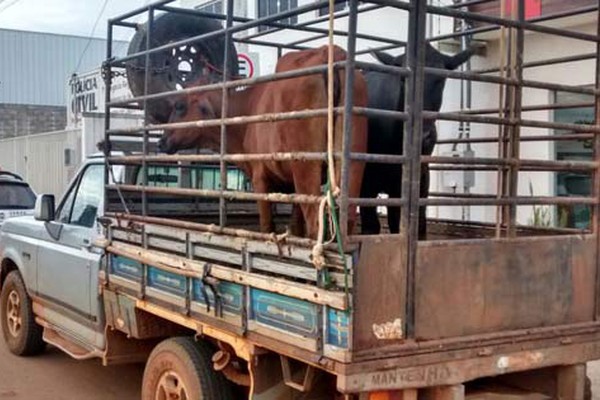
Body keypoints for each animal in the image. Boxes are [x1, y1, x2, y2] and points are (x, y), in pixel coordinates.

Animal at [157, 47, 368, 241]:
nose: (161, 142)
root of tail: (329, 52)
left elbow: (267, 225)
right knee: (347, 220)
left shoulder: (260, 178)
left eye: (179, 106)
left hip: (305, 166)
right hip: (352, 164)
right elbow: (295, 226)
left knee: (316, 222)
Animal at [358, 43, 476, 238]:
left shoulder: (419, 181)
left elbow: (410, 226)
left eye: (441, 79)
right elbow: (370, 228)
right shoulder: (365, 182)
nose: (423, 136)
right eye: (403, 79)